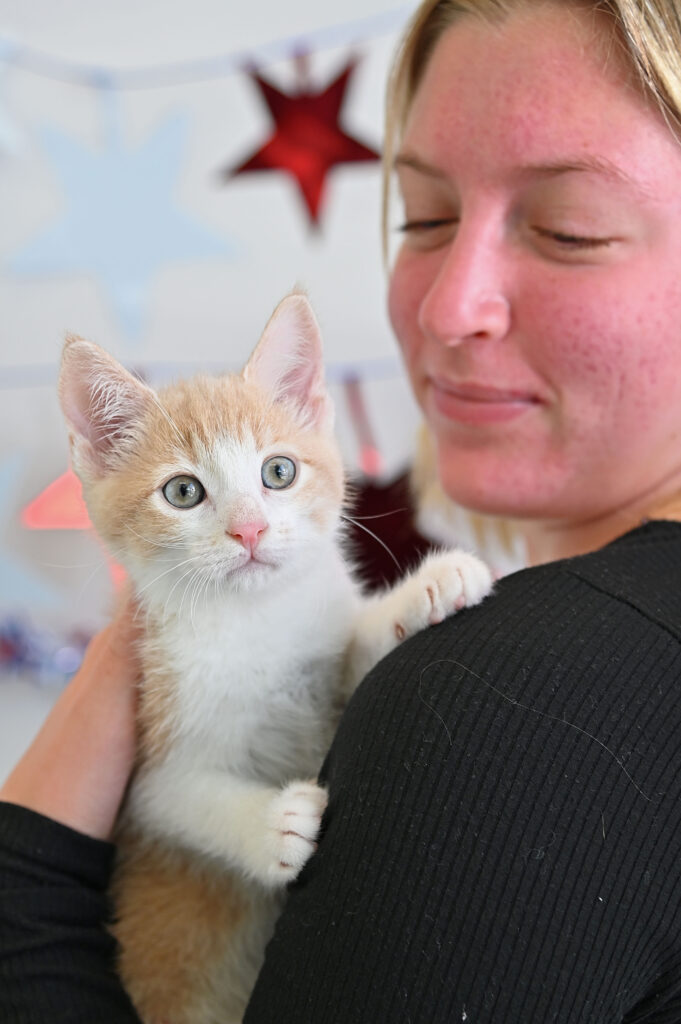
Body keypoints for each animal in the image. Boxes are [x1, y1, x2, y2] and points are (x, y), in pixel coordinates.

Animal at [58, 294, 491, 1024]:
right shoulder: (144, 754)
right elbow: (179, 796)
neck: (254, 621)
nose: (250, 529)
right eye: (182, 492)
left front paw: (427, 588)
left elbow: (349, 651)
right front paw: (275, 826)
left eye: (278, 472)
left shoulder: (319, 654)